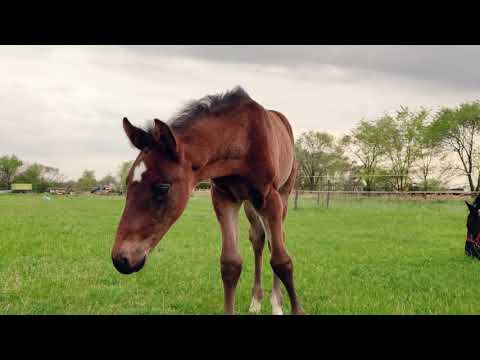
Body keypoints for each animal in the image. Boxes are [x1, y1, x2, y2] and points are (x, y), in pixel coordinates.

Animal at [111, 87, 304, 316]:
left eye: (162, 187)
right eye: (127, 182)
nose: (121, 260)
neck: (242, 139)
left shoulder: (269, 197)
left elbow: (282, 260)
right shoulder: (223, 197)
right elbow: (230, 264)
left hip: (282, 195)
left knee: (276, 240)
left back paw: (276, 303)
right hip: (250, 204)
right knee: (258, 238)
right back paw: (256, 300)